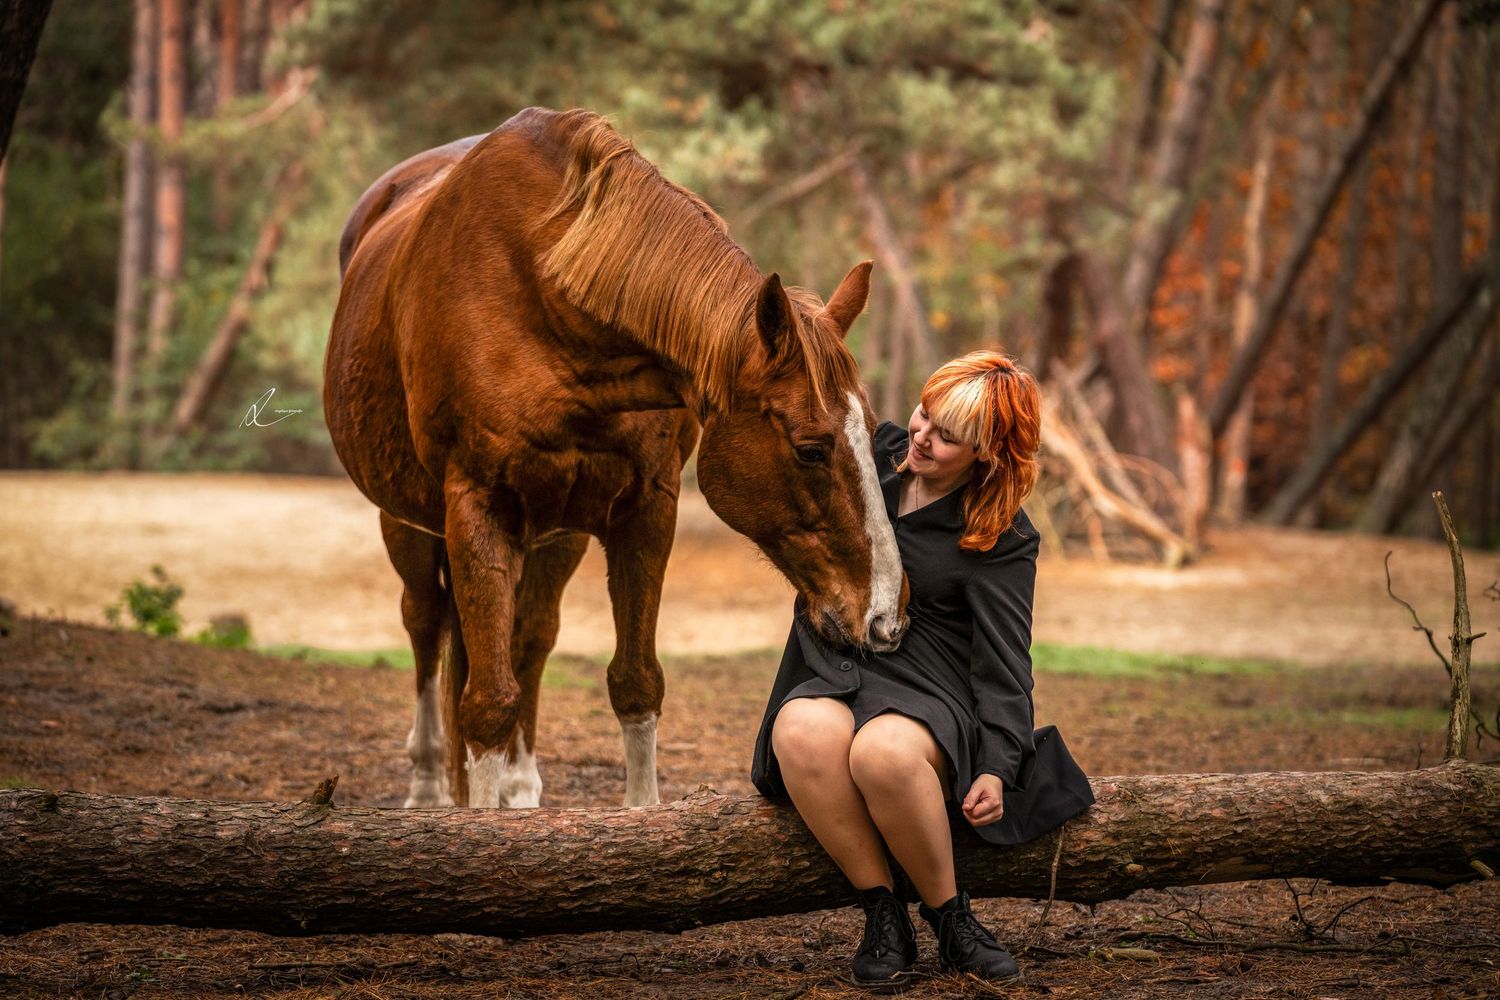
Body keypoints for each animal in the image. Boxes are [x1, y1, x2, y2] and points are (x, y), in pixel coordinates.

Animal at [325, 107, 908, 809]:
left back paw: (520, 788)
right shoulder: (475, 505)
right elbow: (486, 703)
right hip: (412, 522)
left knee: (530, 634)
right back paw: (429, 785)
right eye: (811, 449)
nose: (885, 617)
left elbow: (635, 683)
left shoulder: (644, 508)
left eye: (872, 433)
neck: (546, 297)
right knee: (426, 624)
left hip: (555, 533)